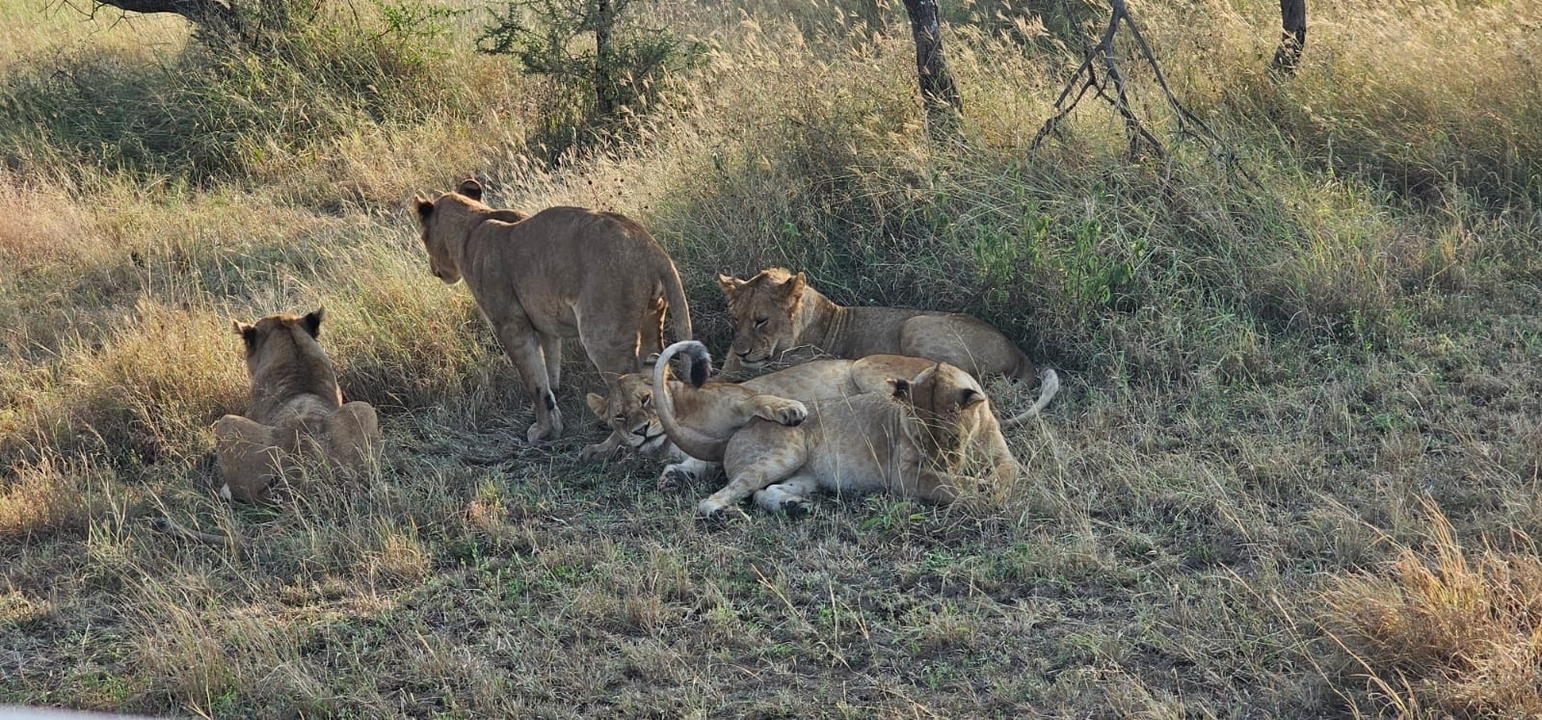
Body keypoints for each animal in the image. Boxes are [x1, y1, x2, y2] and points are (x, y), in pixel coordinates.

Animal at [413, 179, 693, 448]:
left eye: (423, 237)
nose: (433, 270)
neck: (473, 225)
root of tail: (650, 247)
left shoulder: (511, 325)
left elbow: (535, 383)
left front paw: (544, 431)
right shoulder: (544, 324)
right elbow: (550, 368)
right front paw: (555, 408)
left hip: (603, 339)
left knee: (625, 389)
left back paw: (607, 445)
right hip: (650, 318)